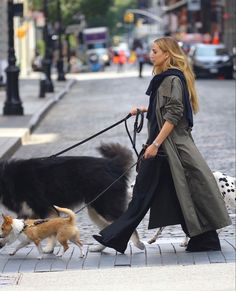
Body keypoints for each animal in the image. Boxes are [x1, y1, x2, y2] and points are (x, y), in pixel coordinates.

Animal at [0, 144, 144, 253]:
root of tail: (112, 164)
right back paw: (99, 247)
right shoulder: (28, 213)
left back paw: (138, 244)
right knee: (109, 229)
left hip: (105, 208)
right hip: (95, 211)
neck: (8, 178)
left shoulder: (45, 209)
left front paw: (48, 249)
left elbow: (49, 231)